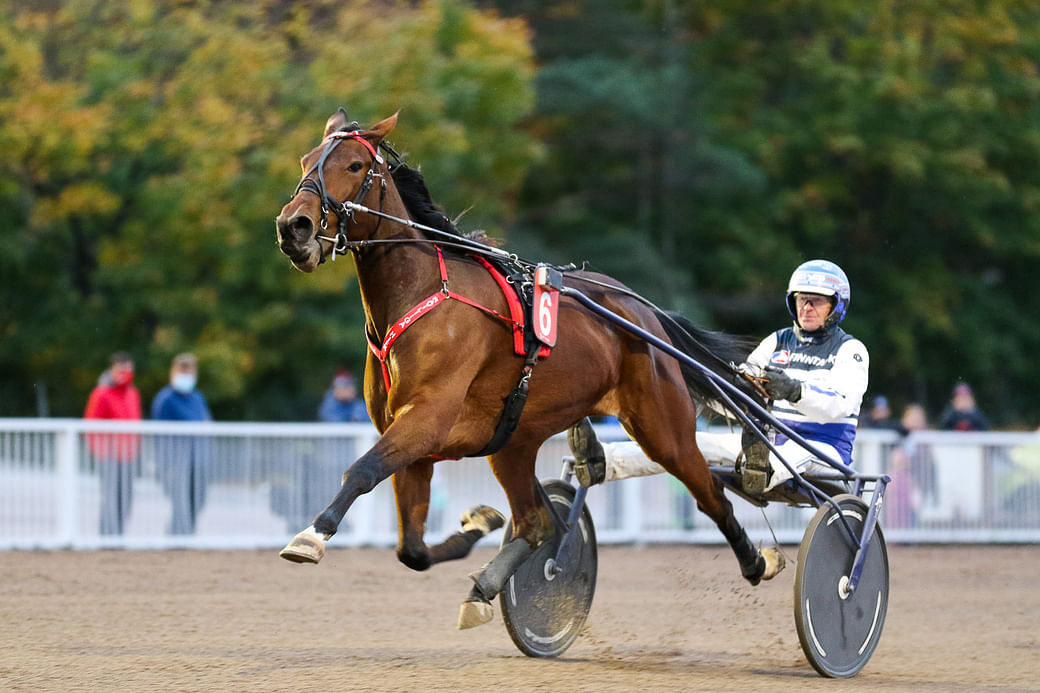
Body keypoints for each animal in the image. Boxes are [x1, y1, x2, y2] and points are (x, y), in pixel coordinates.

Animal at [272, 108, 782, 624]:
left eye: (355, 165)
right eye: (307, 160)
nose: (294, 226)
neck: (423, 297)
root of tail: (643, 310)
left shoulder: (426, 420)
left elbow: (361, 471)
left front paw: (311, 536)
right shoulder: (414, 440)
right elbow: (411, 548)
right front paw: (476, 527)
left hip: (664, 428)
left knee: (710, 494)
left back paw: (758, 561)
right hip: (513, 442)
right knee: (535, 523)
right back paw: (487, 584)